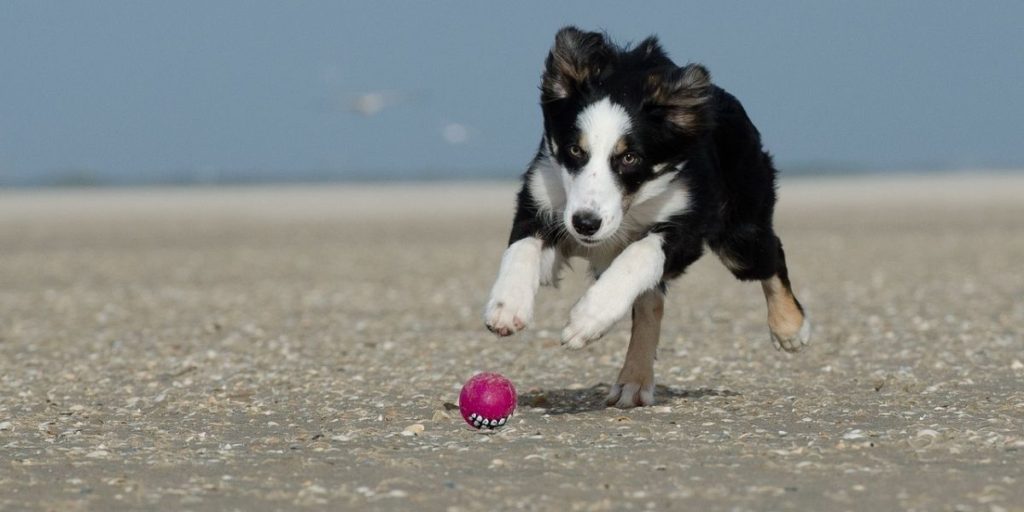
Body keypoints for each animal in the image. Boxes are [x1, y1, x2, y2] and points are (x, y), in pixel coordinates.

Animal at [483, 28, 811, 409]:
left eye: (630, 158)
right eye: (575, 150)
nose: (586, 224)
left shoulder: (688, 223)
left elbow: (639, 255)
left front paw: (586, 320)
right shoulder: (543, 198)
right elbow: (522, 247)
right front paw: (506, 306)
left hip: (740, 235)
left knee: (771, 255)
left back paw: (790, 328)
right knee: (651, 302)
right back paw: (634, 381)